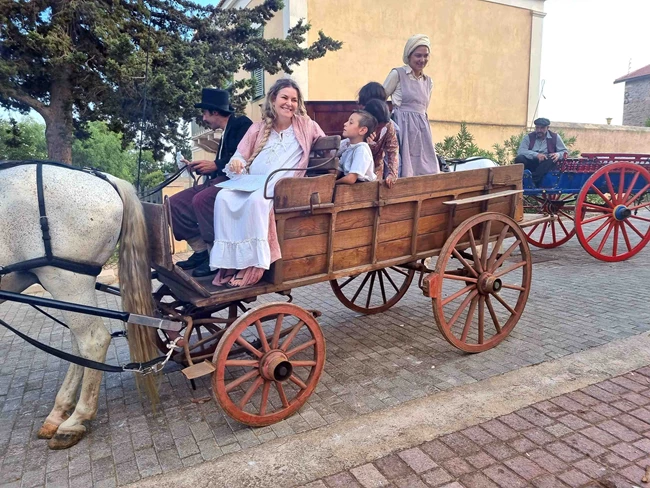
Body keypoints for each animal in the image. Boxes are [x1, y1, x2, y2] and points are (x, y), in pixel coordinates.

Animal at [0, 164, 157, 450]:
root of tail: (104, 178)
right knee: (80, 343)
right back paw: (60, 412)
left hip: (66, 278)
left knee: (93, 341)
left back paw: (75, 420)